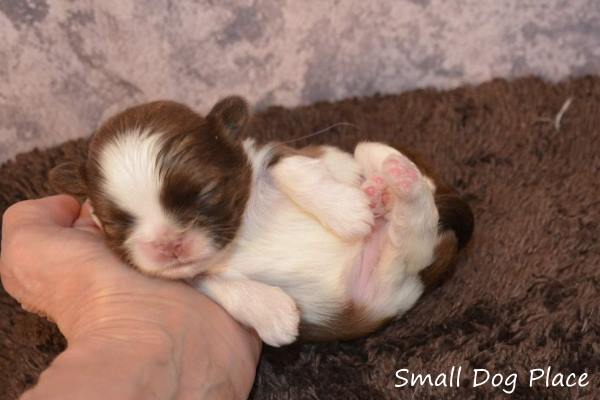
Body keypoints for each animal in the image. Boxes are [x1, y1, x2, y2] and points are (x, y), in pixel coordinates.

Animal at [50, 97, 474, 346]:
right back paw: (391, 189)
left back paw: (388, 179)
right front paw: (273, 314)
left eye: (206, 193)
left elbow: (292, 168)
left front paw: (346, 212)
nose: (168, 244)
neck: (240, 234)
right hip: (387, 279)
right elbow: (208, 282)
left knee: (391, 170)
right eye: (117, 222)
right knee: (411, 231)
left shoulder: (273, 153)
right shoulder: (187, 275)